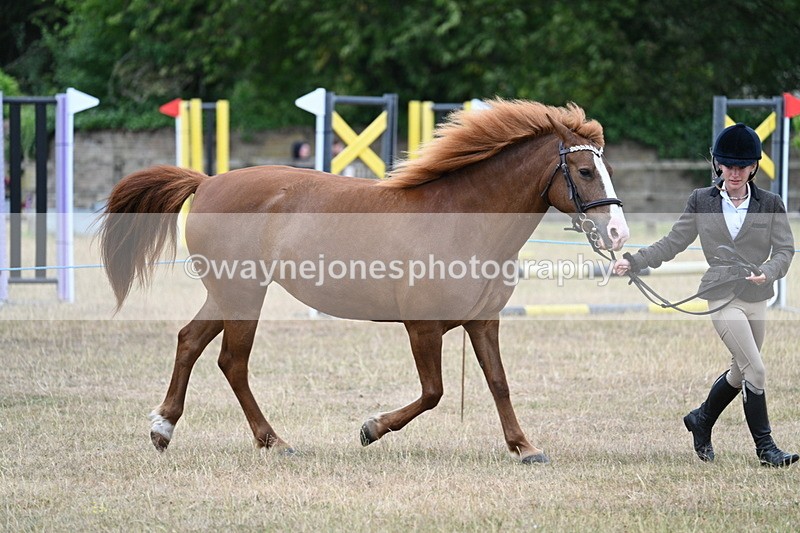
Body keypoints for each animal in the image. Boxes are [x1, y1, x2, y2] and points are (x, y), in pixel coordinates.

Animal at [99, 99, 629, 464]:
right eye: (585, 170)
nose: (618, 234)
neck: (460, 220)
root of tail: (207, 181)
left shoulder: (483, 321)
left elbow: (498, 382)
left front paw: (523, 447)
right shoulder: (422, 327)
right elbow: (433, 392)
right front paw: (371, 428)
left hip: (228, 294)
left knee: (190, 342)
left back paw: (163, 429)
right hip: (243, 295)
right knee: (233, 363)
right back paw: (274, 441)